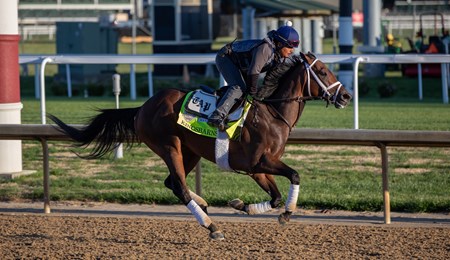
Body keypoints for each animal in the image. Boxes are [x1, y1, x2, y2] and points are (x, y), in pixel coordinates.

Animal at [49, 51, 352, 241]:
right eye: (323, 71)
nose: (346, 96)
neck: (272, 113)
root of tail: (142, 108)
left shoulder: (256, 168)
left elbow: (275, 196)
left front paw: (243, 205)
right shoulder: (258, 162)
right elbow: (295, 175)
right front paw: (288, 213)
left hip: (190, 151)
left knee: (172, 183)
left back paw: (204, 204)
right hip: (169, 146)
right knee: (180, 187)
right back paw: (211, 226)